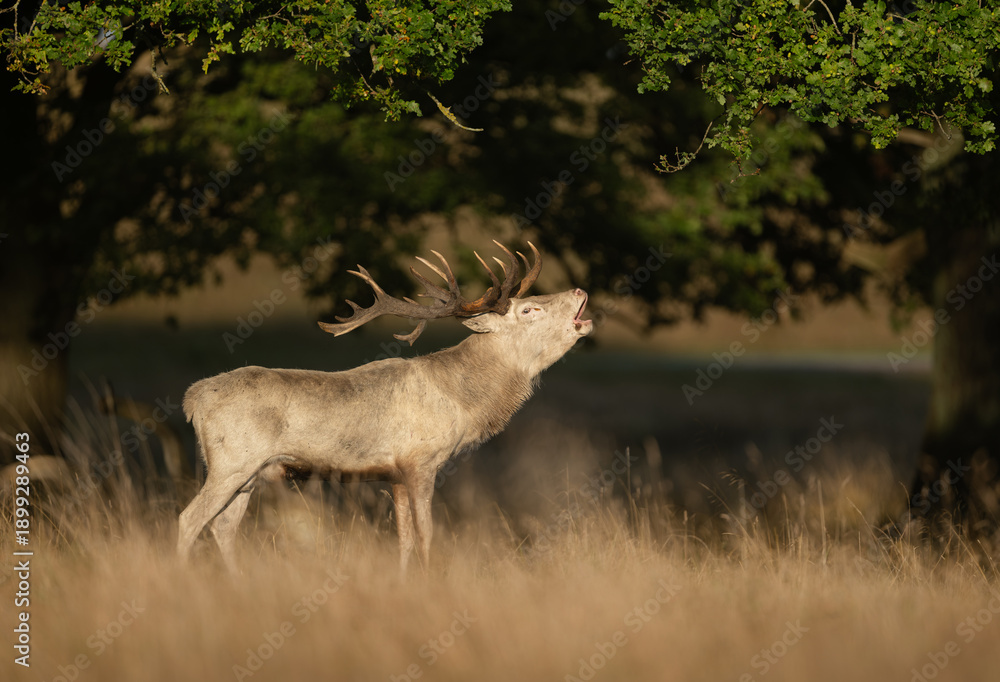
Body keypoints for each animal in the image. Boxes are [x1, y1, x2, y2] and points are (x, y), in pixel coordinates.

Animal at [176, 241, 593, 573]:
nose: (579, 289)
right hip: (232, 461)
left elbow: (404, 539)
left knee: (223, 527)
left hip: (249, 474)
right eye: (529, 310)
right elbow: (427, 535)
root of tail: (192, 398)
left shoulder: (394, 474)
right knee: (188, 519)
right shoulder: (420, 460)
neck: (462, 401)